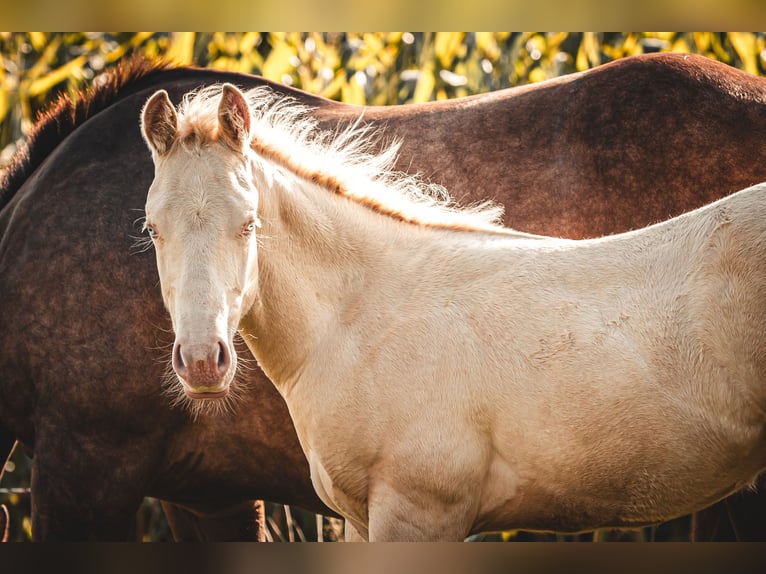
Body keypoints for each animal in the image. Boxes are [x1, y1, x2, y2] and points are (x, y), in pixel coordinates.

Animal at [1, 51, 766, 544]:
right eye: (150, 228)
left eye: (248, 223)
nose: (201, 363)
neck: (366, 314)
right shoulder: (221, 496)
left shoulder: (89, 467)